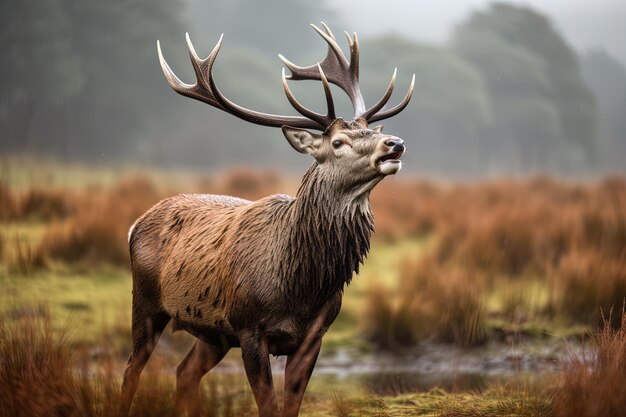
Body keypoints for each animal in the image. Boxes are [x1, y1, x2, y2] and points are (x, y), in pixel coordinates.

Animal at [120, 22, 414, 416]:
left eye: (374, 131)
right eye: (337, 142)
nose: (394, 143)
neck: (301, 285)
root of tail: (135, 224)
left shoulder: (314, 336)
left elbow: (291, 407)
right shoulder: (249, 328)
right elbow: (269, 407)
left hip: (213, 332)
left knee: (185, 372)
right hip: (147, 301)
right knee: (131, 371)